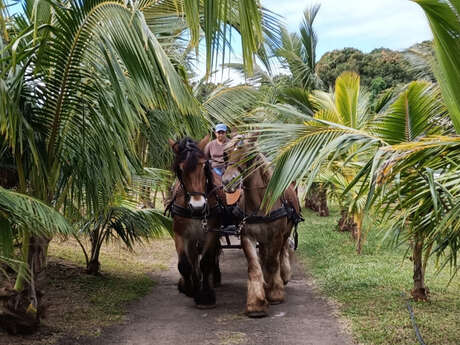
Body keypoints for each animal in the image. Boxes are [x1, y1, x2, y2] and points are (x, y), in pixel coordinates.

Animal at [167, 136, 223, 308]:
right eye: (180, 169)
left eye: (204, 166)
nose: (198, 206)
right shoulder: (180, 234)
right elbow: (184, 264)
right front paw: (189, 287)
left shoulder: (212, 233)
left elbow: (206, 261)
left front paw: (205, 295)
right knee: (192, 257)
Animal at [222, 133, 302, 316]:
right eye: (226, 154)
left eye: (248, 154)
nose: (228, 182)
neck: (259, 204)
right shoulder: (247, 236)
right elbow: (254, 266)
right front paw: (256, 303)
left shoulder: (276, 235)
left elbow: (272, 263)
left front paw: (275, 294)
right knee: (265, 255)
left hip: (285, 233)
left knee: (281, 253)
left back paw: (283, 276)